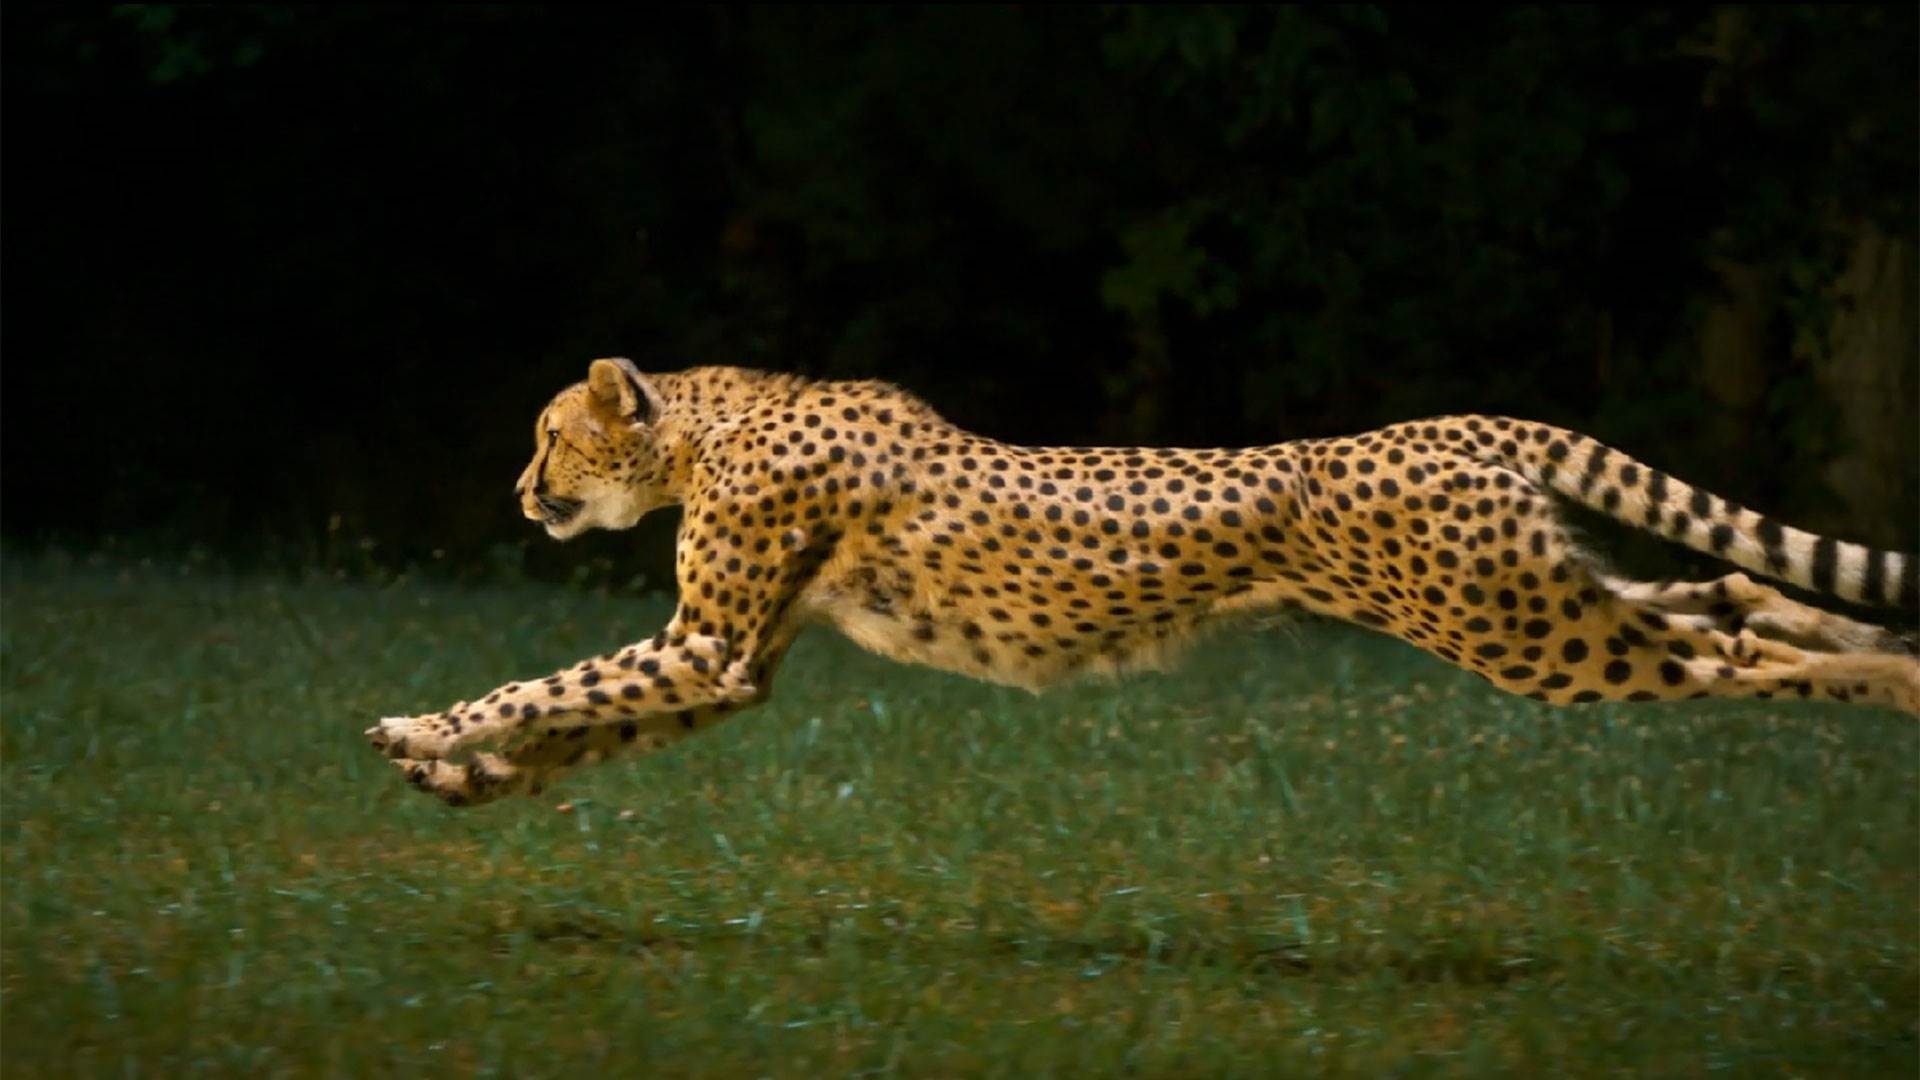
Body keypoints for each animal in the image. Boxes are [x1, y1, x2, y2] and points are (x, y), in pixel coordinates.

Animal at [367, 358, 1920, 806]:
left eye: (548, 438)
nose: (522, 494)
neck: (706, 426)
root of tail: (1464, 424)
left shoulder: (705, 640)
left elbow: (551, 684)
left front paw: (423, 730)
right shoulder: (733, 662)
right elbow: (586, 721)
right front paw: (468, 778)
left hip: (1525, 637)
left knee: (1735, 661)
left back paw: (1893, 680)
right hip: (1543, 598)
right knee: (1732, 605)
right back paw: (1878, 654)